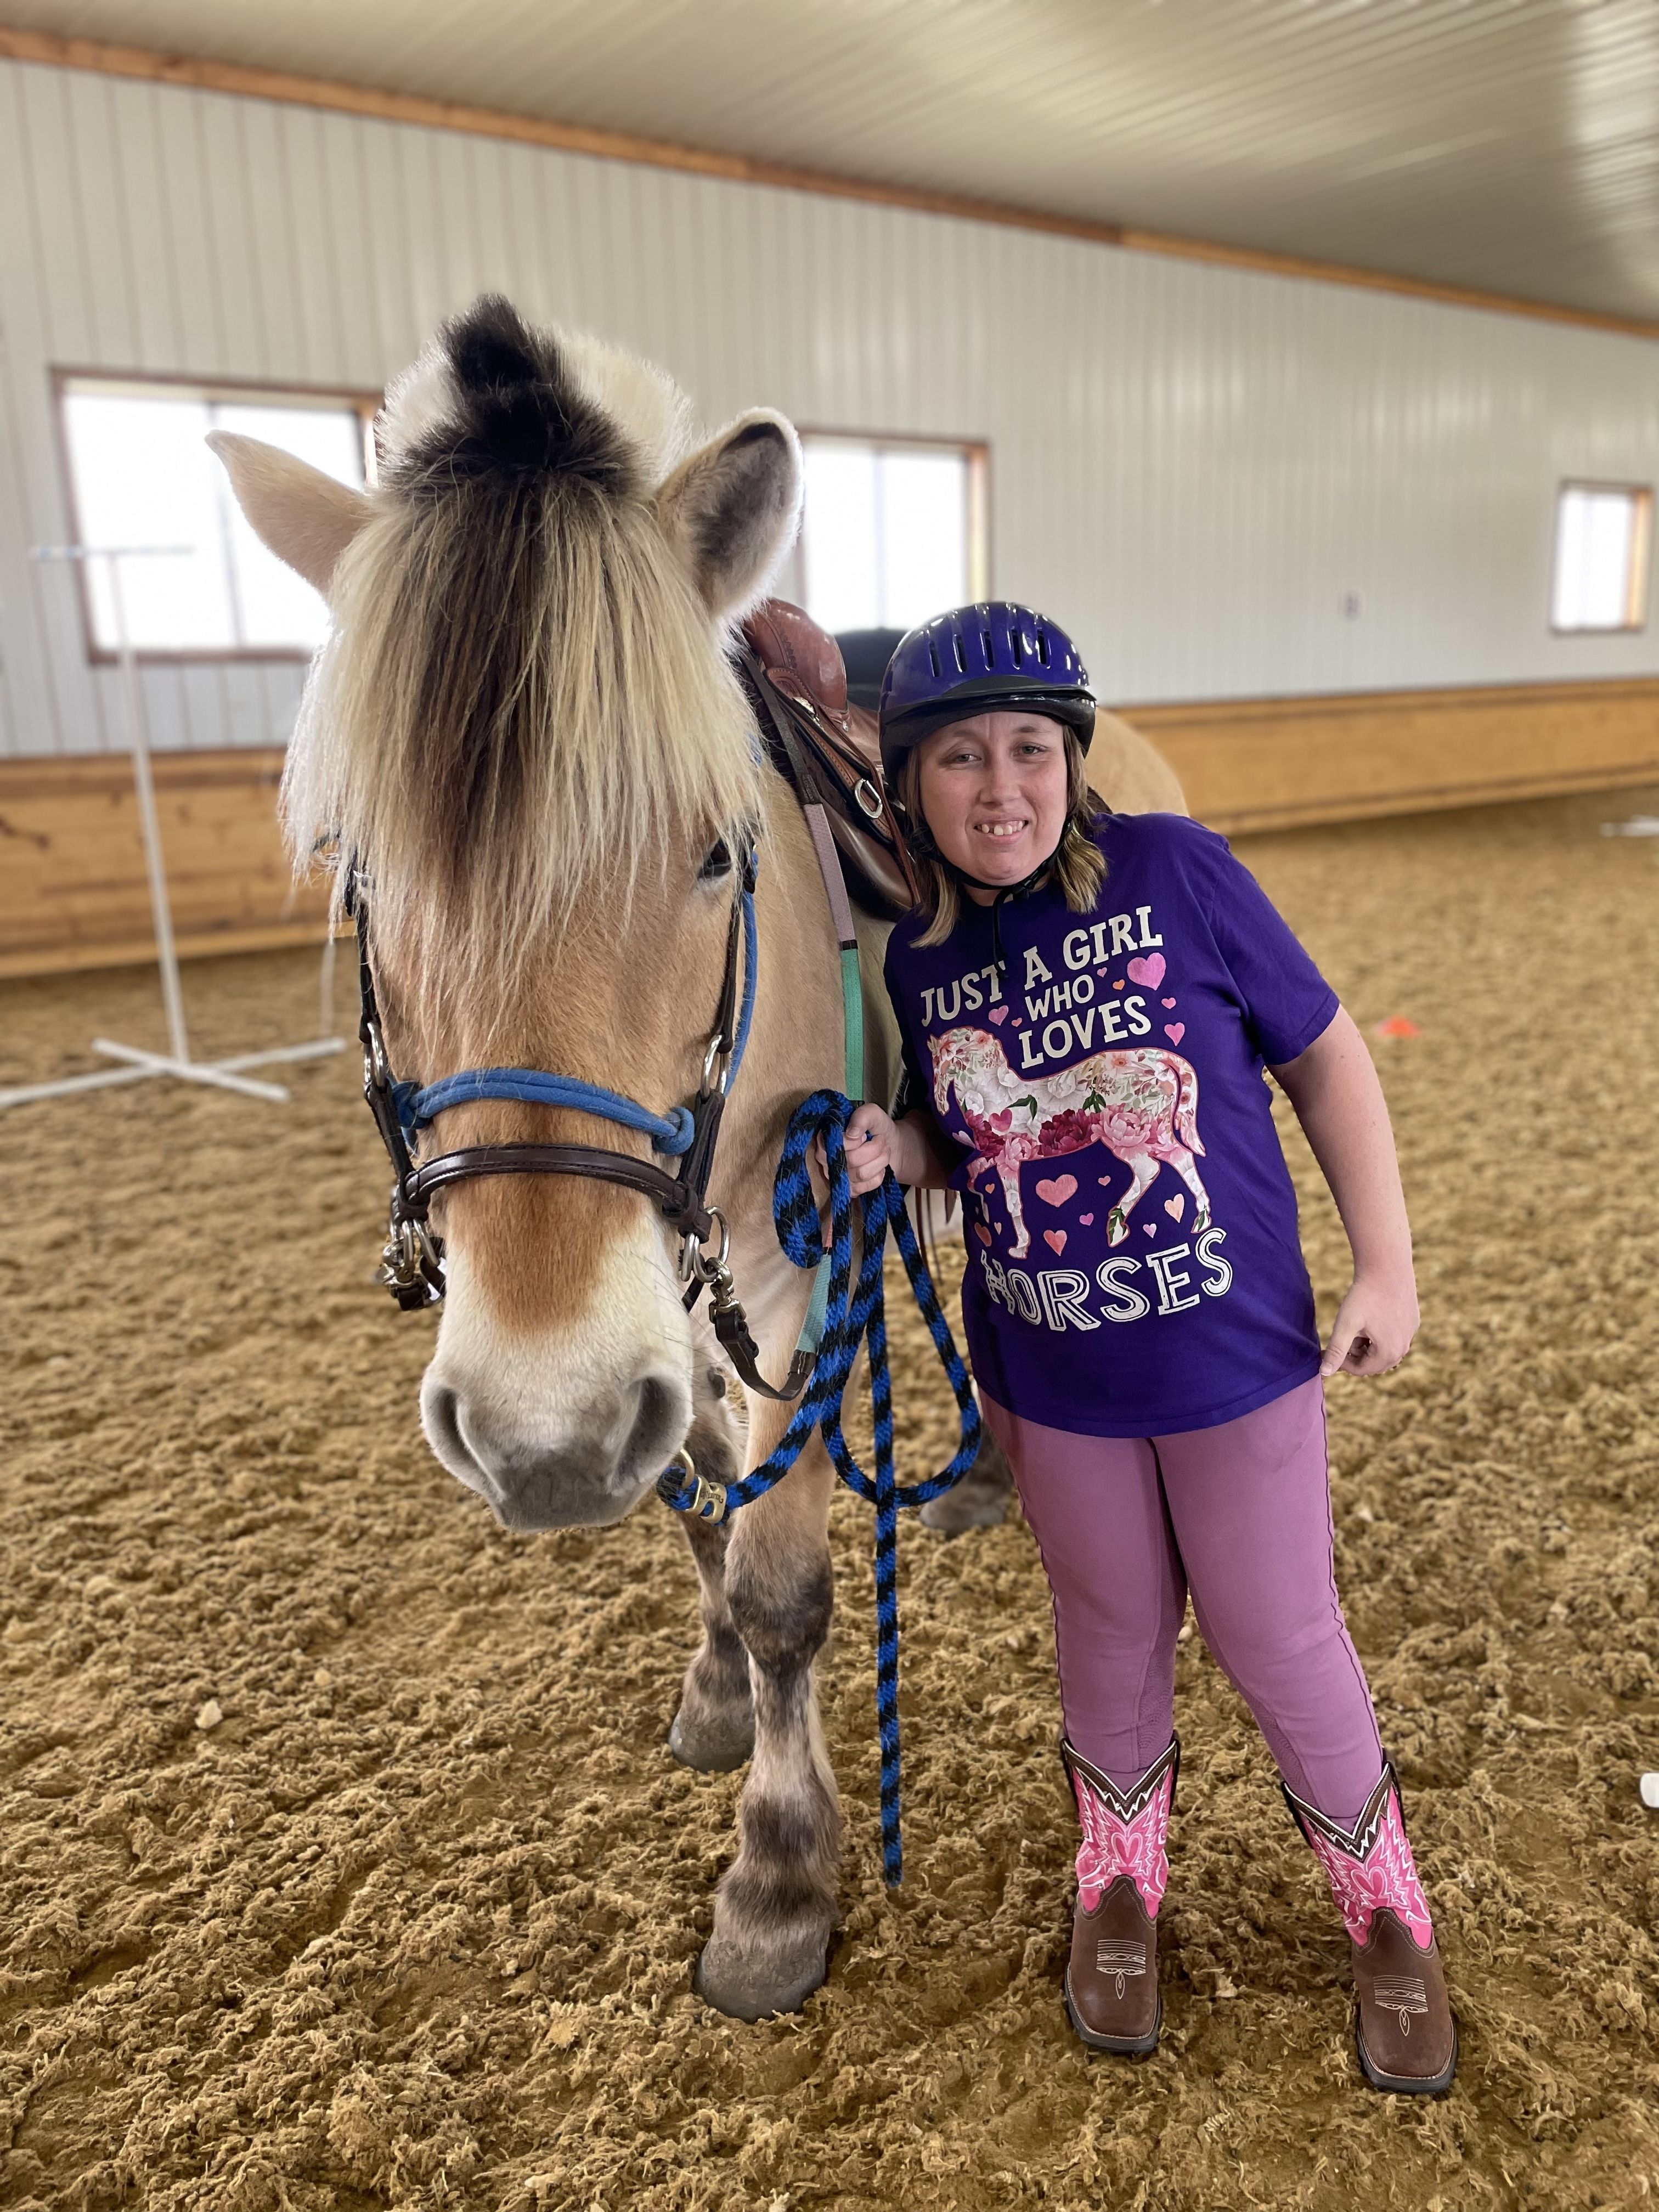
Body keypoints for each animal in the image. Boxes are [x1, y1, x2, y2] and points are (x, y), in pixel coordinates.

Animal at [211, 298, 1186, 2026]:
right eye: (361, 870)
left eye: (718, 851)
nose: (541, 1436)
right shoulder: (658, 1315)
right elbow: (702, 1514)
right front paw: (719, 1685)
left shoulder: (794, 1275)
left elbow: (786, 1577)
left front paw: (780, 1877)